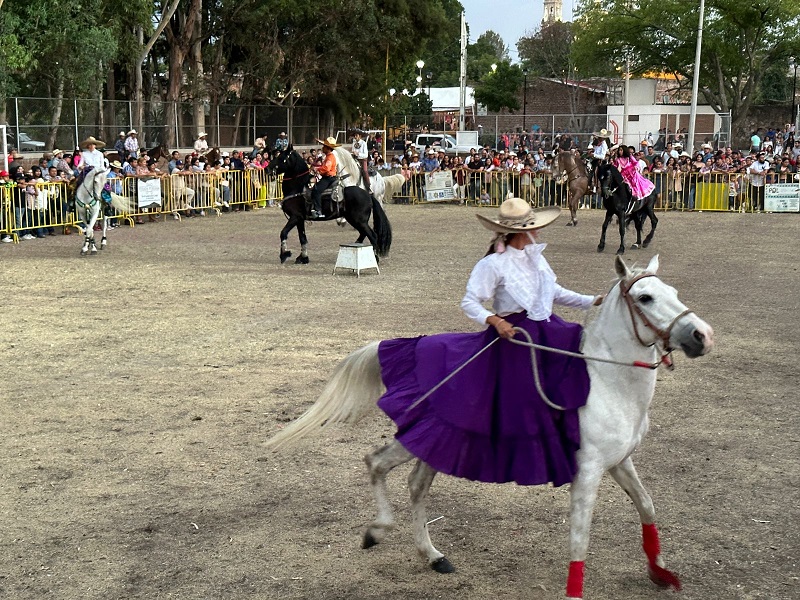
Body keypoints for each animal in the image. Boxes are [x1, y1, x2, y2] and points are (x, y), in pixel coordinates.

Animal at [266, 254, 716, 600]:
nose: (702, 335)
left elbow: (647, 507)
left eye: (674, 292)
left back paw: (433, 556)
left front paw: (660, 573)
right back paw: (377, 532)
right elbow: (580, 538)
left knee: (416, 485)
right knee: (376, 463)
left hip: (437, 440)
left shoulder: (621, 462)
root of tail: (405, 345)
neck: (607, 381)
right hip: (420, 436)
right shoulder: (587, 472)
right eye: (645, 297)